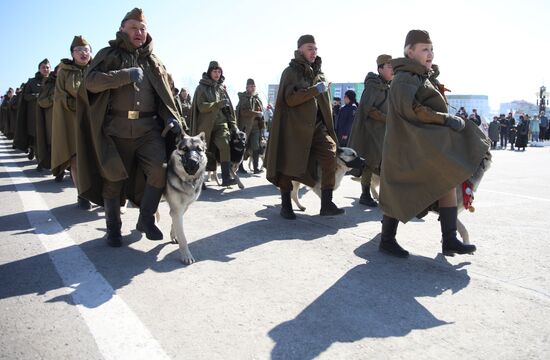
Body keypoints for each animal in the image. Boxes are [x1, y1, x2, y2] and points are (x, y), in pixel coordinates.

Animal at [165, 132, 208, 264]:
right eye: (185, 149)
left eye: (199, 149)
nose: (193, 162)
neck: (188, 180)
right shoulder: (177, 210)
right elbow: (183, 238)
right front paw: (186, 255)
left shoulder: (182, 208)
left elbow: (175, 224)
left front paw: (174, 235)